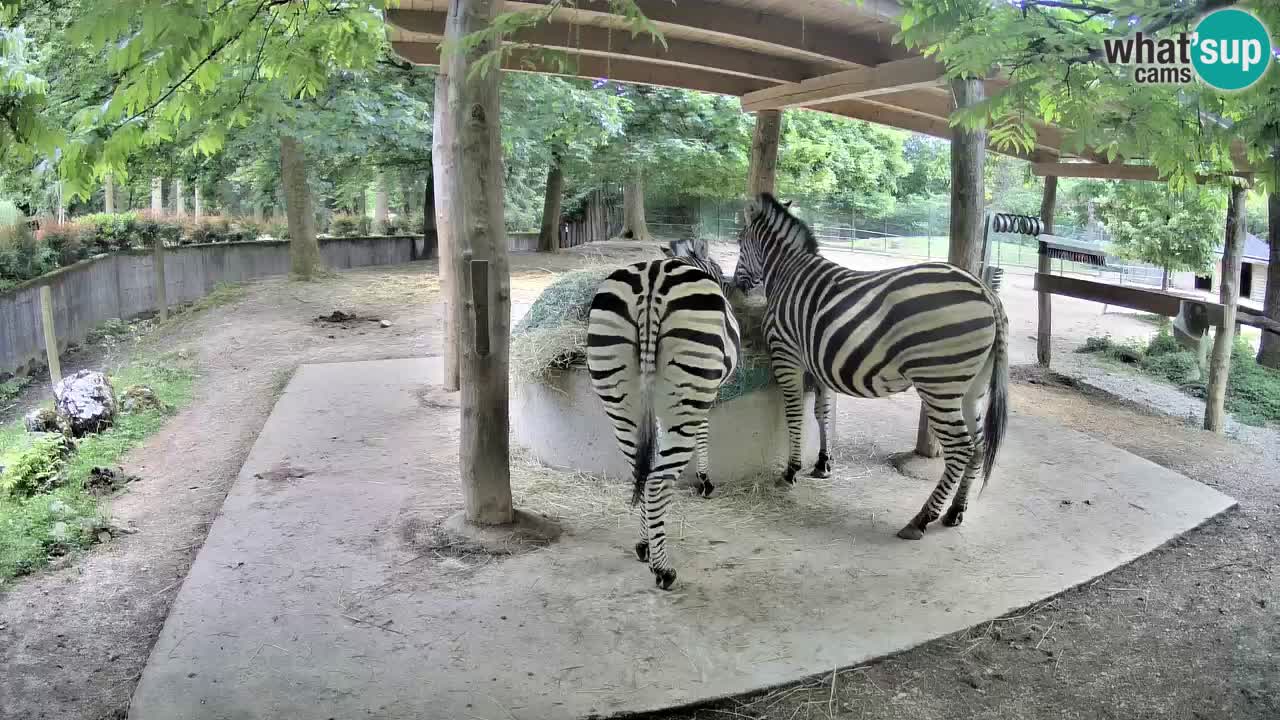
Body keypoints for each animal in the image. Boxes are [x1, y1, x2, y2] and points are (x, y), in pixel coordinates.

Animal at [587, 240, 741, 589]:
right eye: (717, 268)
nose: (734, 289)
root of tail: (651, 280)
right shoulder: (705, 396)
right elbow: (703, 433)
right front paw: (704, 480)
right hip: (687, 391)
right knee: (656, 482)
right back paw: (662, 570)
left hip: (619, 396)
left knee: (641, 472)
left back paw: (645, 546)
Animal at [733, 193, 1009, 541]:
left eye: (739, 242)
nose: (736, 285)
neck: (787, 273)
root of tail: (987, 292)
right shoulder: (816, 360)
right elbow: (821, 412)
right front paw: (822, 464)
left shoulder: (786, 352)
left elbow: (794, 414)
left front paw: (791, 471)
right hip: (972, 387)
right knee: (979, 447)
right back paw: (955, 511)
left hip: (939, 385)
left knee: (961, 448)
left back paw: (921, 519)